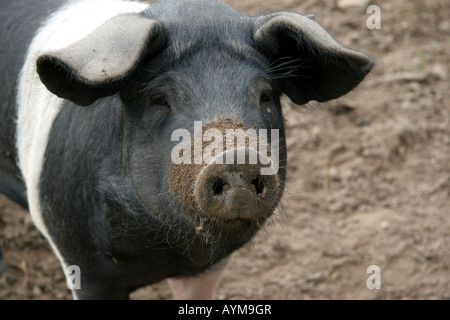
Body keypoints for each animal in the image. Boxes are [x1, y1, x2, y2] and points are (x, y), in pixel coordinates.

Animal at [0, 0, 372, 300]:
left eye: (265, 95)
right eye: (160, 98)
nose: (237, 157)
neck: (169, 250)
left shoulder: (210, 266)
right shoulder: (81, 262)